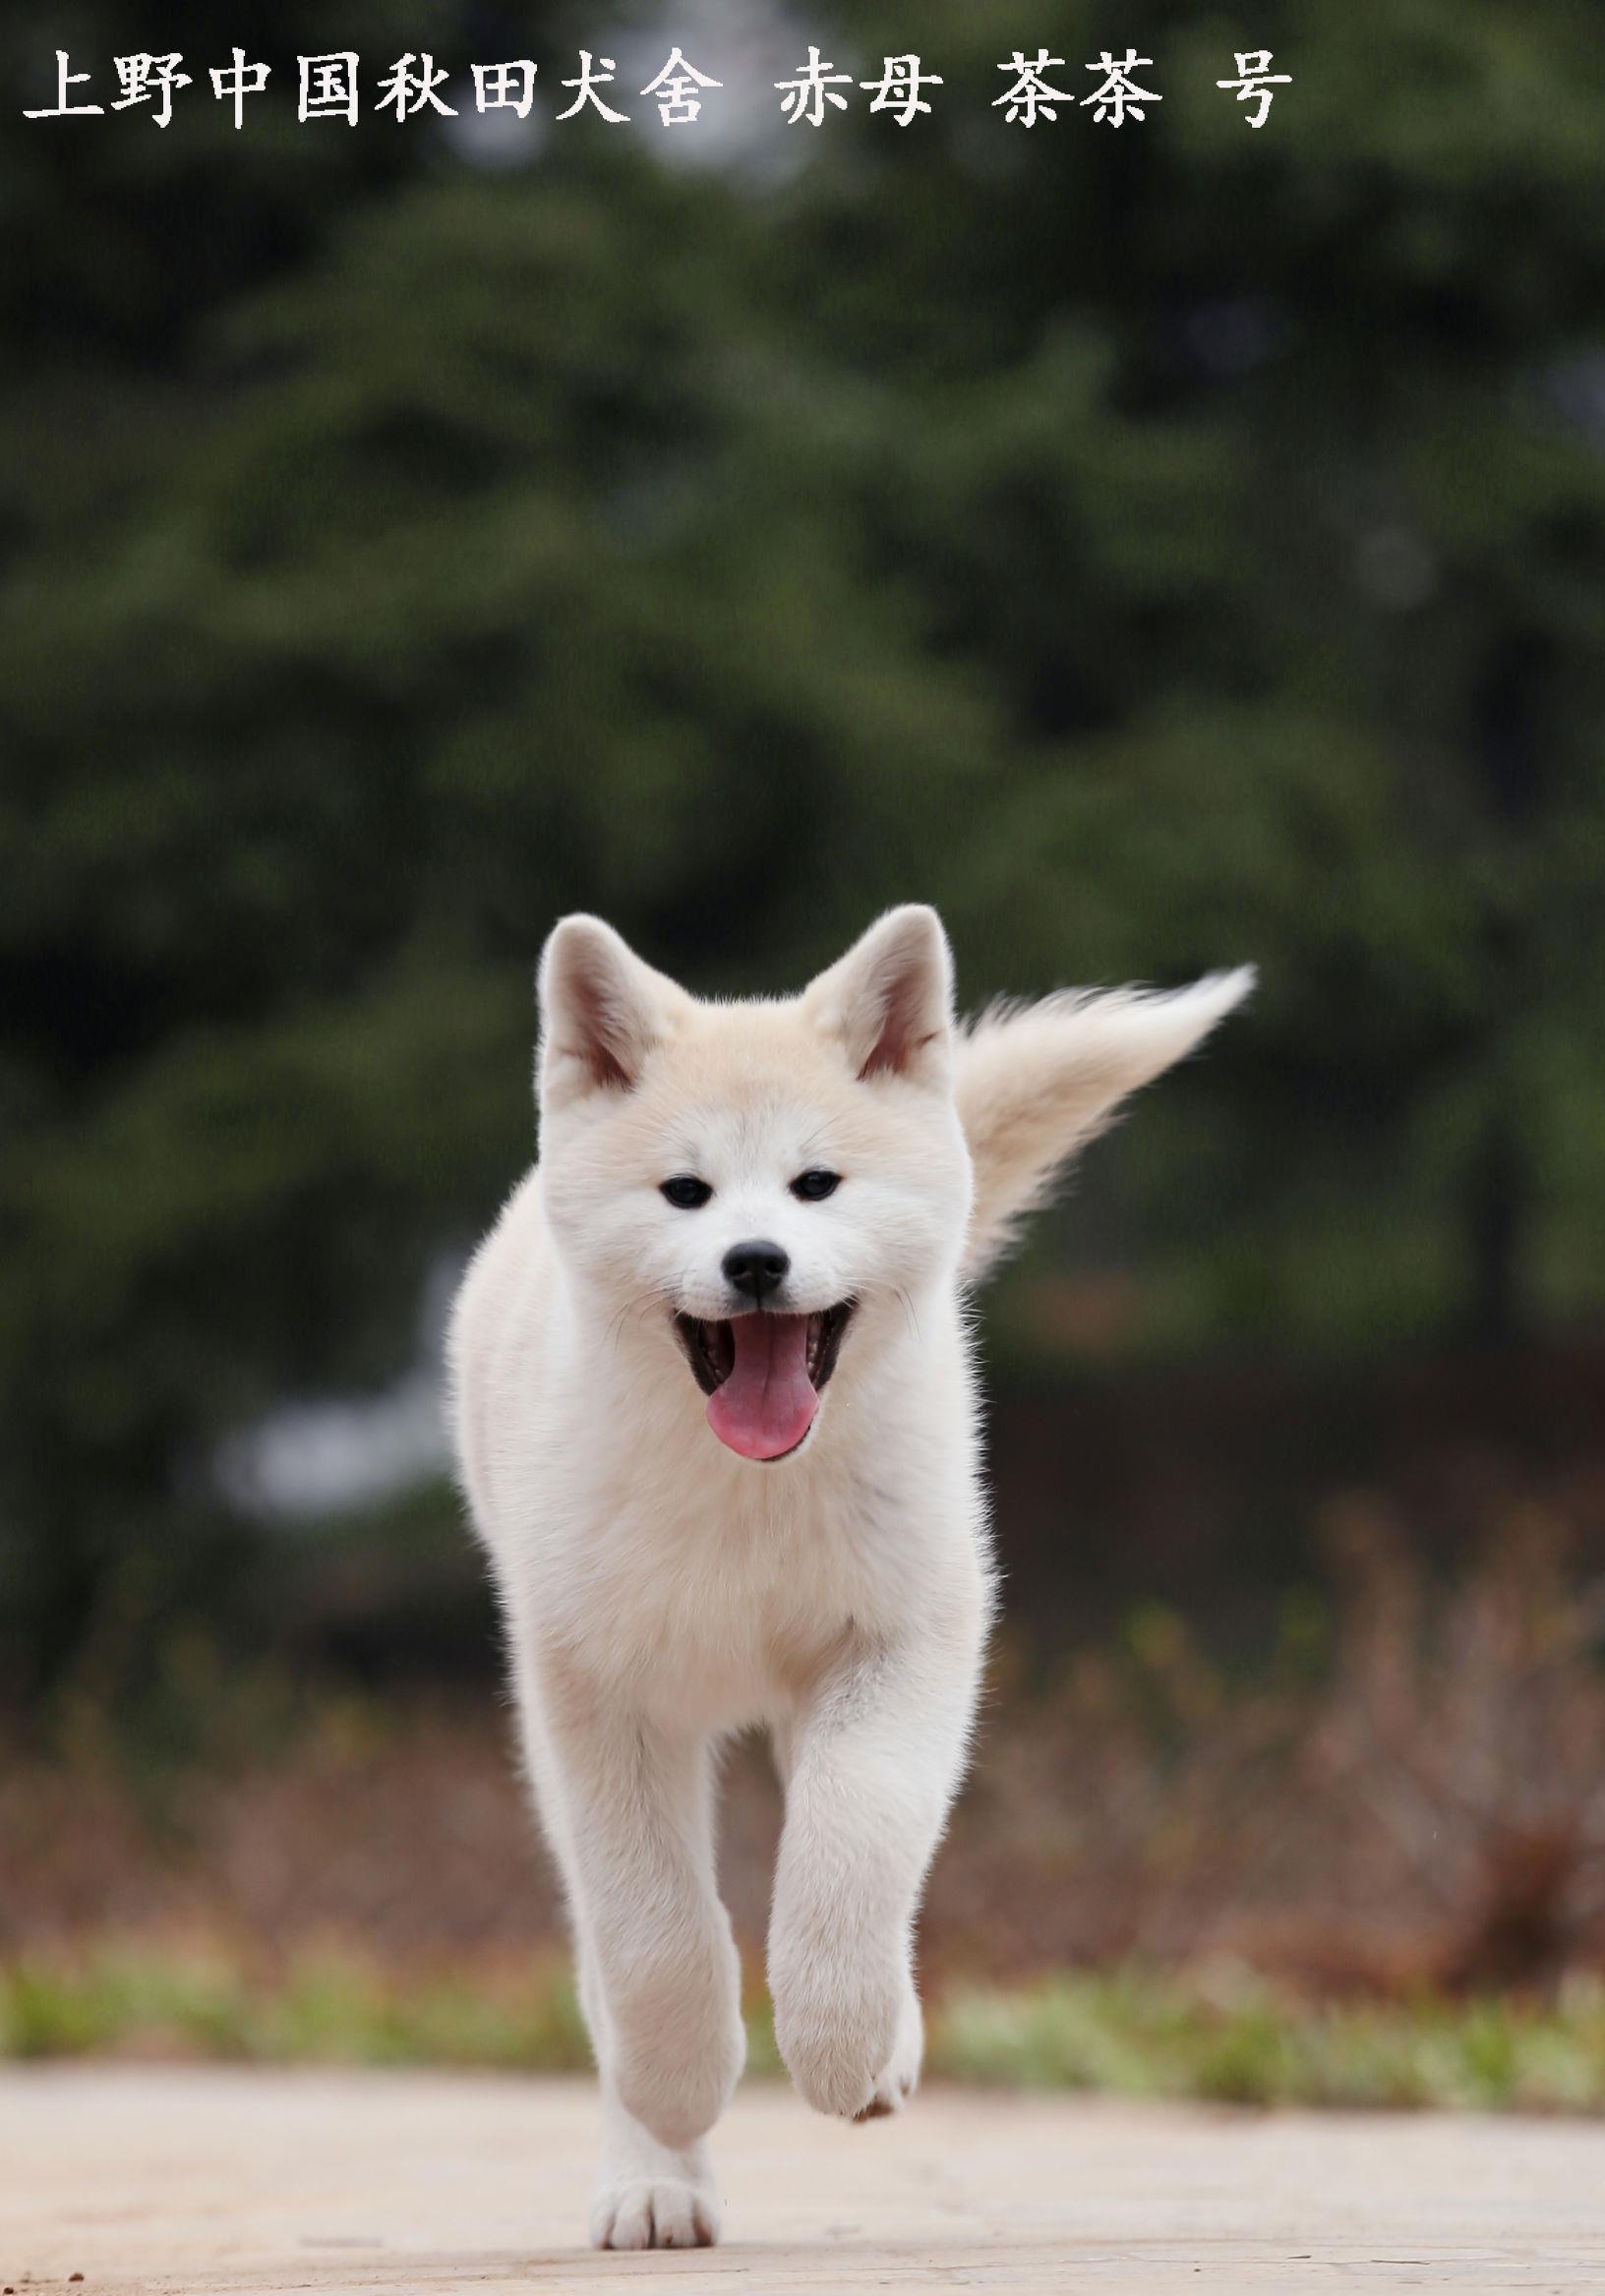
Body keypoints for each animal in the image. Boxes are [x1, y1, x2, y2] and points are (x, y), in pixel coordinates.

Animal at [451, 904, 1258, 2250]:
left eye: (816, 1183)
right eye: (686, 1190)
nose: (756, 1261)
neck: (750, 1493)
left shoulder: (906, 1643)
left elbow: (853, 1845)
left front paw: (843, 2045)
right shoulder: (598, 1694)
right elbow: (654, 1935)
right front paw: (683, 2088)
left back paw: (883, 2046)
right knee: (601, 1958)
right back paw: (654, 2179)